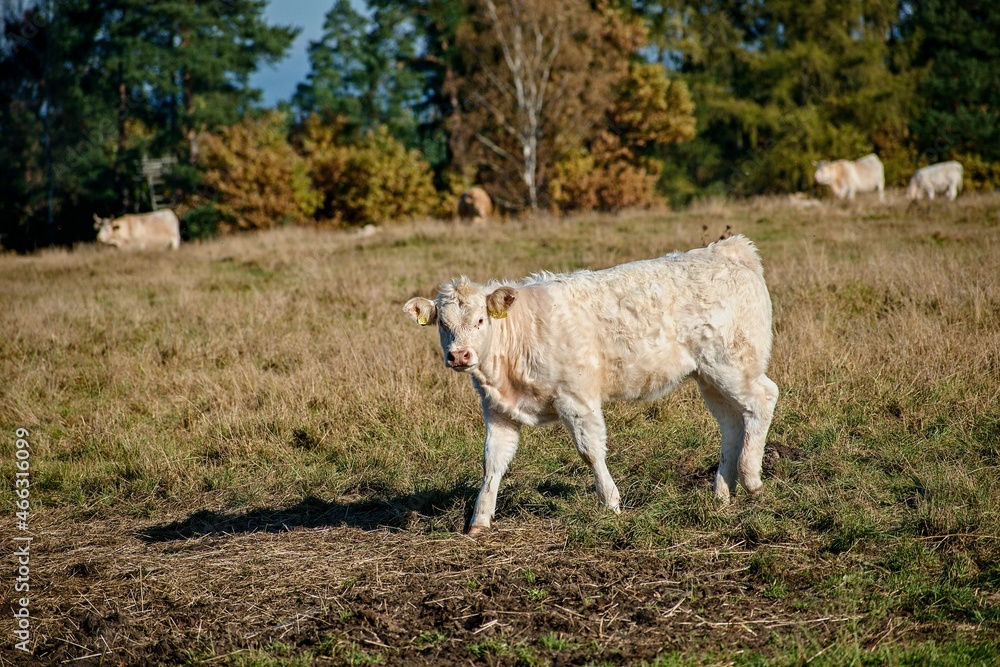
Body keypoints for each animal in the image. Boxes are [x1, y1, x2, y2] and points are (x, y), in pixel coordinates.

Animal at [403, 235, 779, 536]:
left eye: (480, 320)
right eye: (443, 325)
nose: (459, 355)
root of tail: (727, 250)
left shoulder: (577, 400)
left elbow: (591, 451)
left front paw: (610, 503)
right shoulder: (498, 410)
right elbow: (492, 462)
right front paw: (479, 520)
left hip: (732, 364)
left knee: (763, 399)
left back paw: (752, 478)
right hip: (709, 377)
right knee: (731, 423)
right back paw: (722, 493)